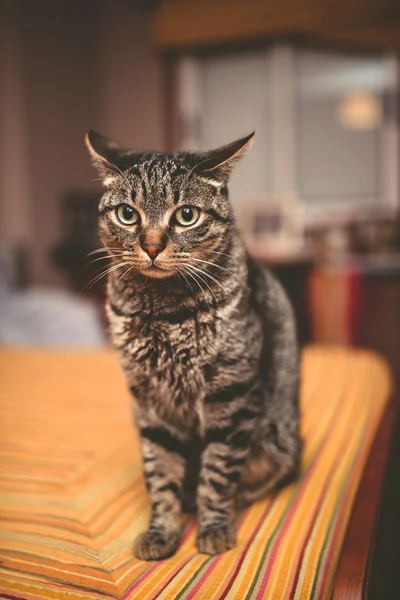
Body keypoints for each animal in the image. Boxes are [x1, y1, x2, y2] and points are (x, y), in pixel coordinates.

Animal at [86, 129, 302, 560]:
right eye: (127, 214)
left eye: (186, 215)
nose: (152, 246)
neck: (163, 314)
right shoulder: (149, 403)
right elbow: (160, 474)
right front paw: (162, 531)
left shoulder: (230, 394)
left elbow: (216, 474)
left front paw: (214, 527)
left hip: (280, 439)